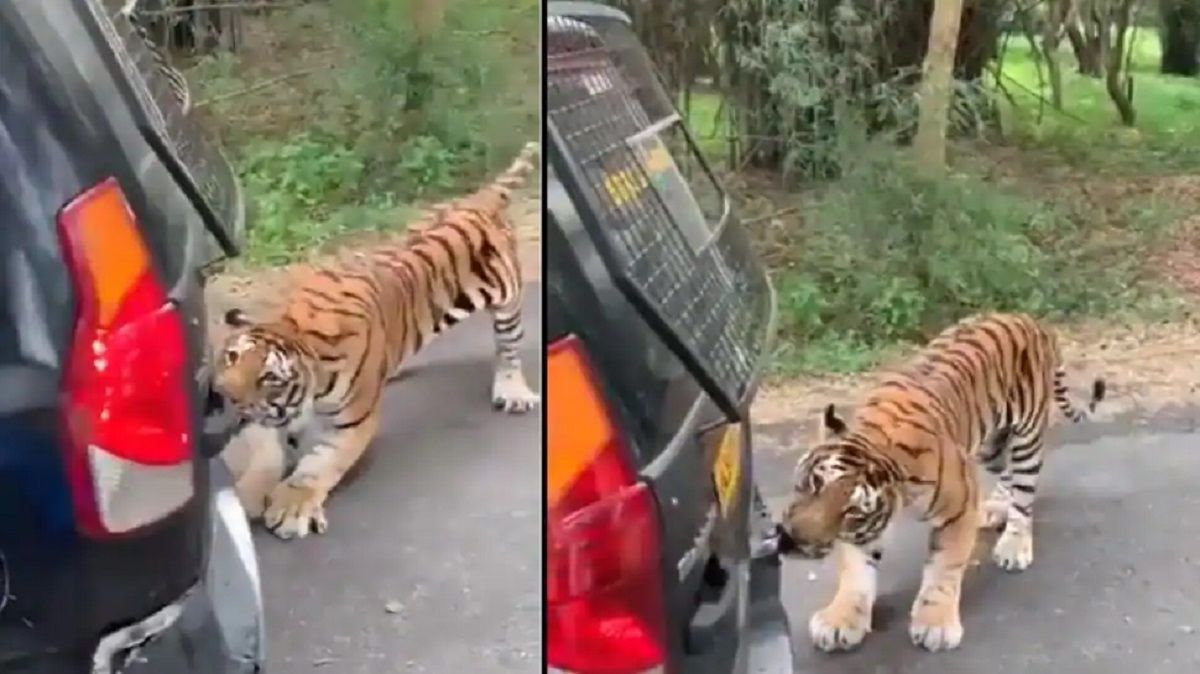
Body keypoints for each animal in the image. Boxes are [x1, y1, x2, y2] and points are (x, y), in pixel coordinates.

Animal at [211, 141, 541, 540]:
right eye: (231, 356)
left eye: (269, 378)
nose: (221, 395)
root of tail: (478, 197)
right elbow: (267, 454)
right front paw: (250, 494)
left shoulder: (351, 425)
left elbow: (319, 466)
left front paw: (292, 507)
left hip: (508, 300)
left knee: (508, 349)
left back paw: (513, 392)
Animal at [774, 312, 1105, 653]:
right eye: (813, 483)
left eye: (850, 510)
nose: (793, 539)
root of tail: (1031, 320)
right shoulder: (864, 531)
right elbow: (856, 571)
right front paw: (841, 619)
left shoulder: (958, 508)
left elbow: (943, 569)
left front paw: (935, 624)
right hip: (991, 445)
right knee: (1008, 473)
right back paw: (997, 508)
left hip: (1027, 435)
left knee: (1024, 495)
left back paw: (1014, 547)